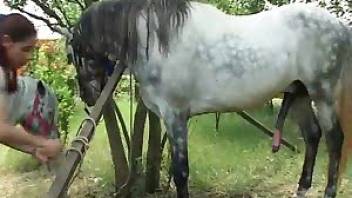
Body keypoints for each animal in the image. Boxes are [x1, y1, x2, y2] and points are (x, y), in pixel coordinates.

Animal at [67, 0, 352, 197]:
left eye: (74, 55)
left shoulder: (175, 117)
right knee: (313, 135)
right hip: (300, 93)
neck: (160, 42)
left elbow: (181, 172)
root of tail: (340, 27)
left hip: (323, 94)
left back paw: (329, 191)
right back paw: (302, 188)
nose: (88, 97)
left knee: (334, 140)